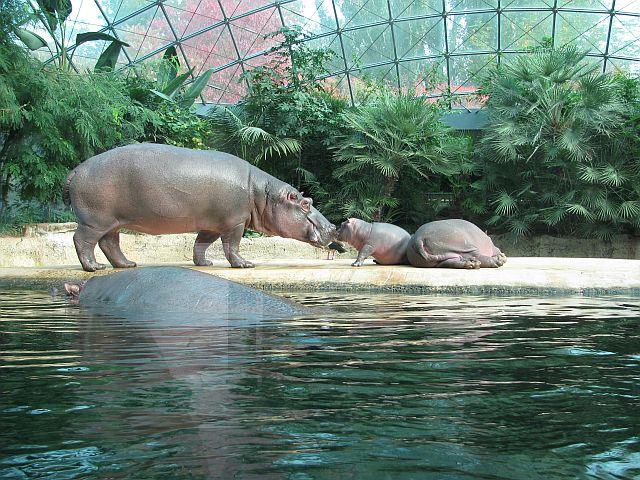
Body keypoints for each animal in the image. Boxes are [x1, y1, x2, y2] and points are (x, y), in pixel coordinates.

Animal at [63, 144, 336, 272]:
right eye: (305, 203)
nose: (333, 227)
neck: (262, 193)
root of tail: (76, 169)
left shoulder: (212, 224)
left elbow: (201, 244)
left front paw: (205, 264)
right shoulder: (235, 222)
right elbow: (232, 246)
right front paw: (245, 264)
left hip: (113, 222)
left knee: (110, 243)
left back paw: (127, 265)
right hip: (95, 220)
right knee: (82, 240)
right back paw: (93, 267)